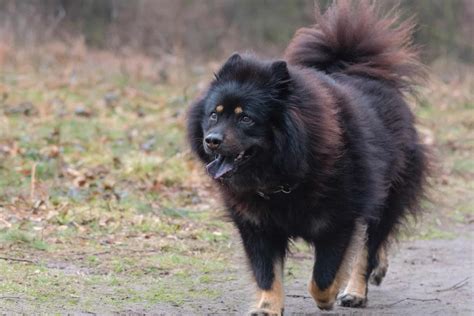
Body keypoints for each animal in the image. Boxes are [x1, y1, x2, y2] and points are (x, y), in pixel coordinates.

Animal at [187, 1, 428, 314]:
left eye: (246, 119)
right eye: (214, 114)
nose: (212, 141)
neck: (281, 177)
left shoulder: (339, 220)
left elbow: (323, 278)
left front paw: (330, 295)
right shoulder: (257, 225)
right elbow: (267, 273)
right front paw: (267, 307)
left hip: (387, 194)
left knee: (370, 245)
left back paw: (355, 290)